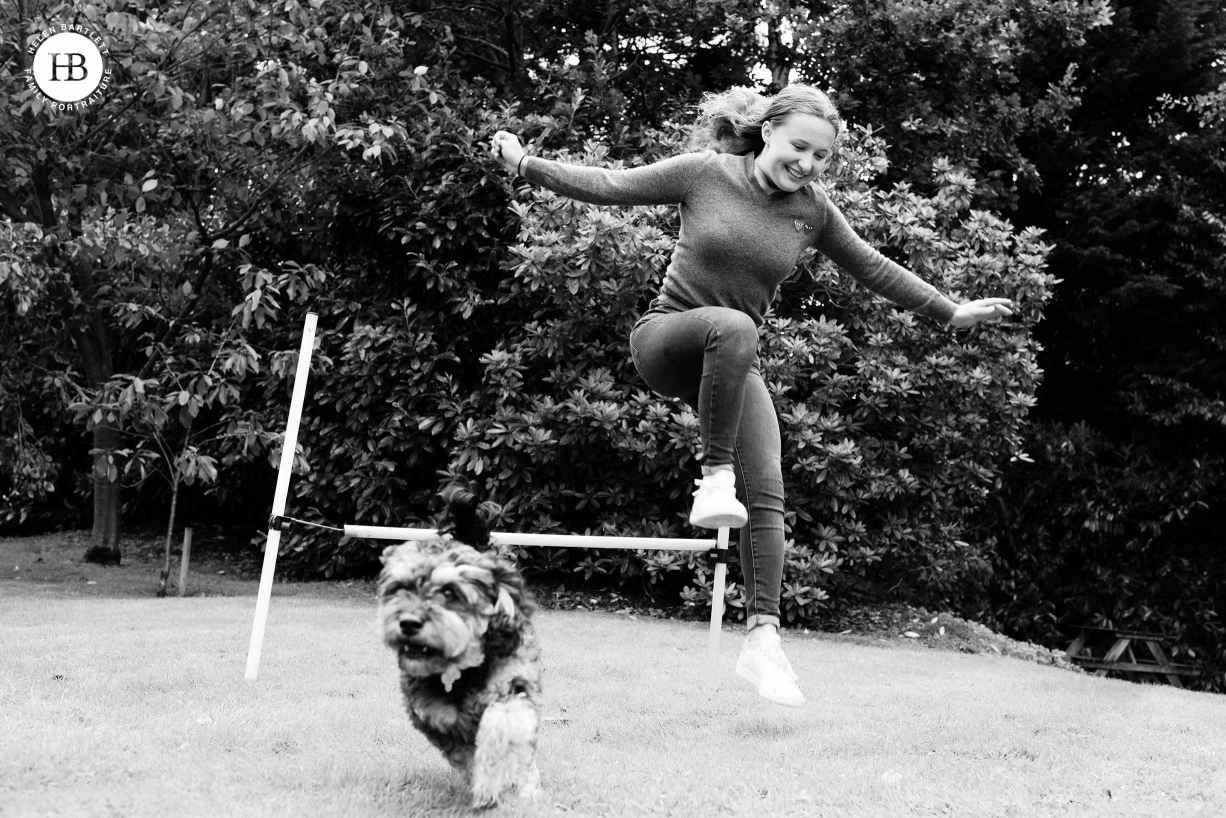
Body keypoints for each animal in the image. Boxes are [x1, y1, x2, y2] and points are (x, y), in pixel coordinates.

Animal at [375, 490, 544, 809]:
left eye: (449, 592)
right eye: (400, 588)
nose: (409, 622)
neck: (461, 671)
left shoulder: (511, 690)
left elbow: (501, 734)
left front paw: (497, 785)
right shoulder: (438, 721)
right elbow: (466, 757)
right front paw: (486, 787)